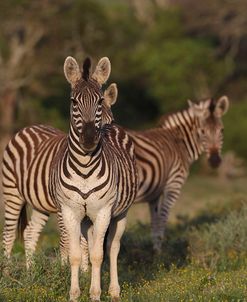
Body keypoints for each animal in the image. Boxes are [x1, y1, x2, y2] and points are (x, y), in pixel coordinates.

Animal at [1, 56, 138, 302]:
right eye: (74, 101)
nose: (90, 139)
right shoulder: (67, 209)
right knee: (9, 235)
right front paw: (72, 288)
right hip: (13, 194)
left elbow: (97, 253)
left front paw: (94, 292)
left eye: (100, 101)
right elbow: (73, 250)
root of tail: (29, 127)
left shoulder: (101, 211)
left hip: (118, 212)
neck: (84, 167)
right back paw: (10, 276)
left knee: (112, 247)